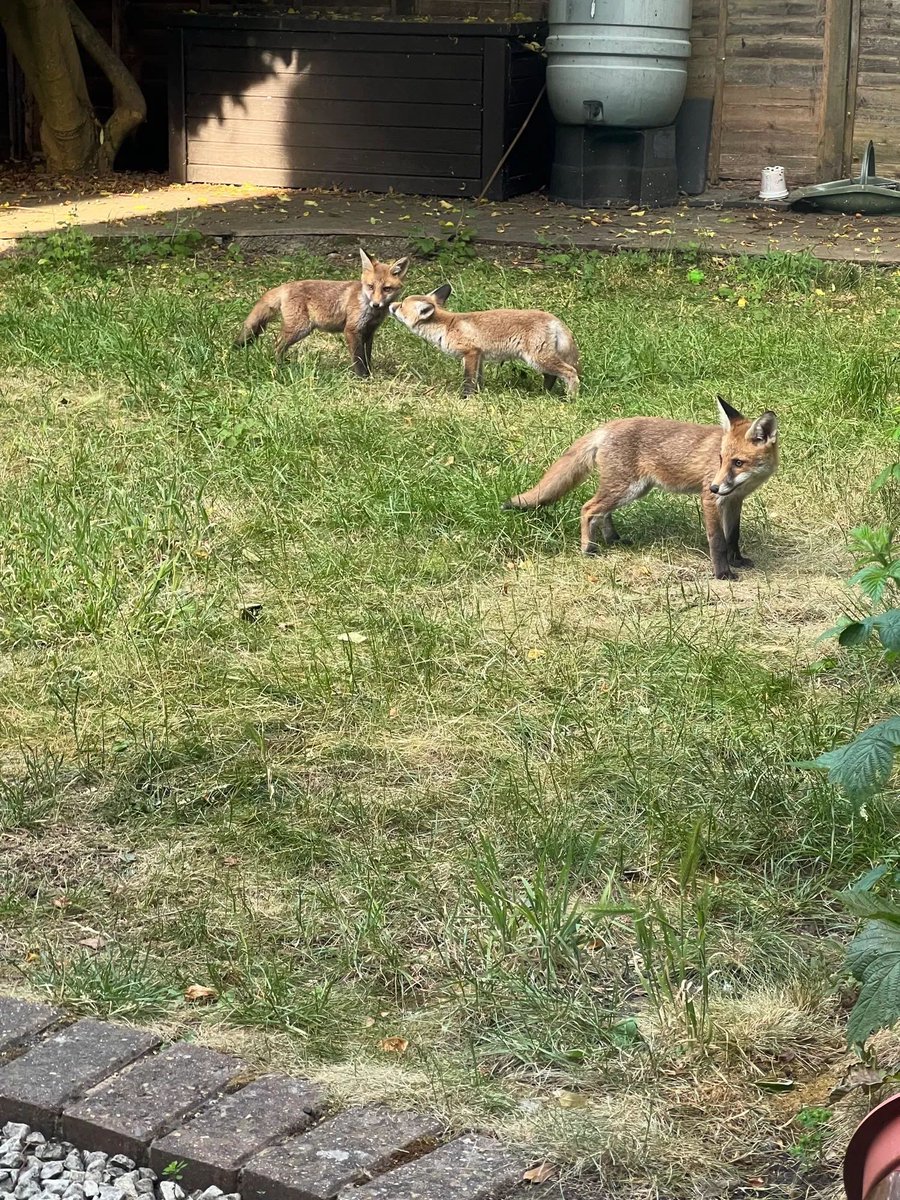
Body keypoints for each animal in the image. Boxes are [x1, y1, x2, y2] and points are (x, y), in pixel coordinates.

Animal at [235, 248, 410, 377]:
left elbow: (367, 356)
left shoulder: (369, 332)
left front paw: (370, 373)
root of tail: (285, 286)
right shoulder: (352, 330)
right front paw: (362, 377)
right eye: (371, 286)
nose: (376, 304)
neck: (368, 309)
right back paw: (278, 366)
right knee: (277, 343)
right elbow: (358, 359)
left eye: (386, 289)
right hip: (300, 328)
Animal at [389, 283, 580, 397]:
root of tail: (554, 319)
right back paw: (544, 393)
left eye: (401, 306)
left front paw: (465, 398)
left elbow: (468, 380)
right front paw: (479, 394)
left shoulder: (470, 353)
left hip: (537, 359)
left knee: (570, 372)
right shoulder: (479, 356)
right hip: (541, 360)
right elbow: (478, 379)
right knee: (552, 376)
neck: (447, 326)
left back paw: (571, 398)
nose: (390, 305)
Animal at [503, 396, 779, 580]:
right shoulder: (711, 501)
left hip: (631, 490)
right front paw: (722, 573)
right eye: (721, 460)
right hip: (626, 488)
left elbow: (733, 536)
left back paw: (613, 538)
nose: (714, 486)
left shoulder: (734, 501)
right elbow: (718, 541)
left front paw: (737, 561)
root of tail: (607, 426)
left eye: (738, 462)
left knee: (602, 512)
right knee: (588, 508)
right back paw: (588, 548)